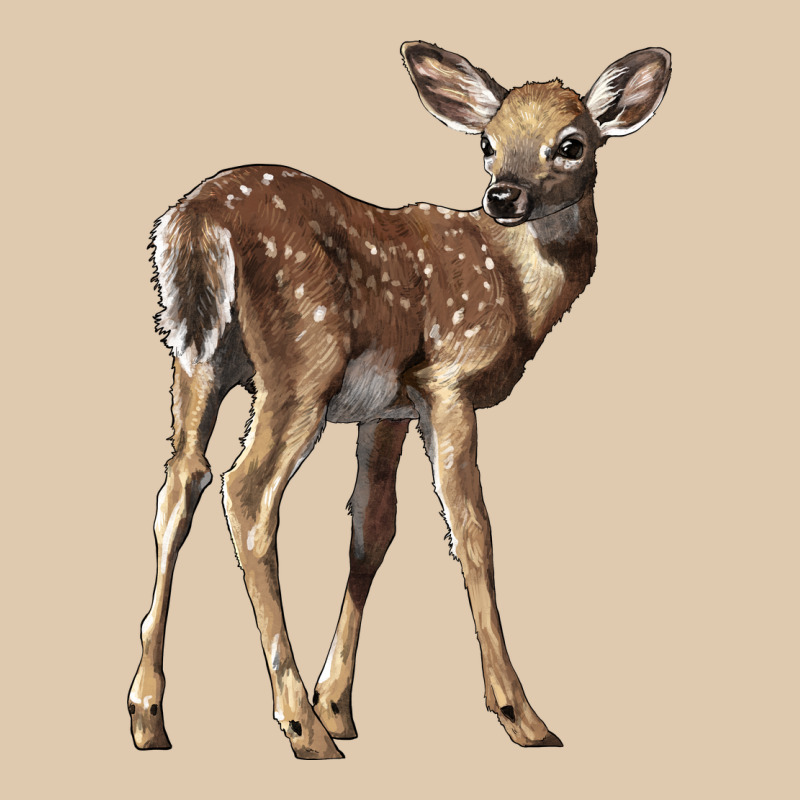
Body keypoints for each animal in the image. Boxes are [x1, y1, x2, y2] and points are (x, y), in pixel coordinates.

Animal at [128, 41, 671, 759]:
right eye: (488, 143)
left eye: (571, 144)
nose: (503, 196)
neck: (514, 288)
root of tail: (195, 219)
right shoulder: (448, 379)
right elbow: (473, 530)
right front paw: (520, 716)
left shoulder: (387, 407)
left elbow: (371, 529)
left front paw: (339, 705)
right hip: (303, 360)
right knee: (246, 491)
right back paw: (299, 728)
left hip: (196, 357)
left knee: (180, 482)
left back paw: (149, 715)